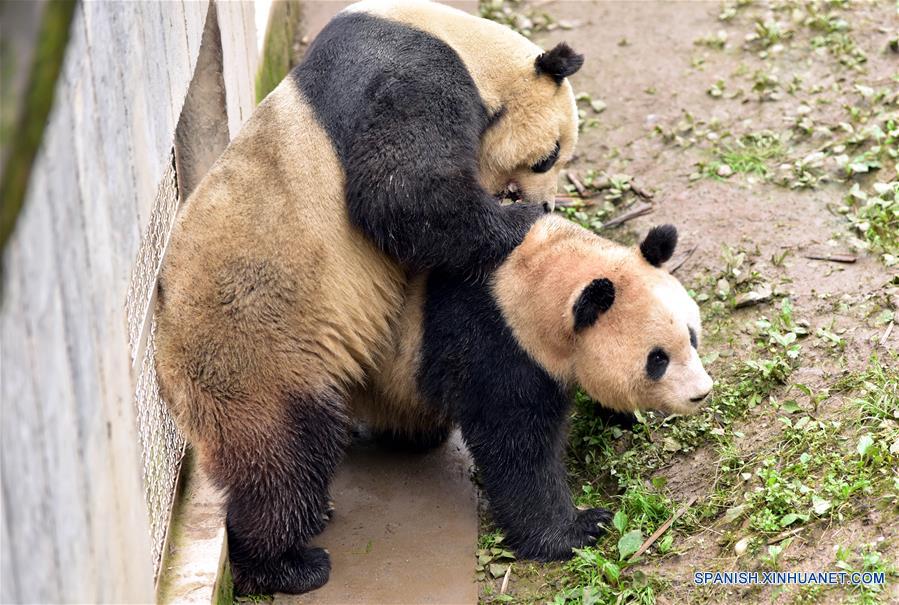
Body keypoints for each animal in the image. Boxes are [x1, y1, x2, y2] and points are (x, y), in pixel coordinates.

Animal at [154, 0, 584, 596]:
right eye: (549, 156)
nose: (542, 201)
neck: (464, 43)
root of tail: (165, 370)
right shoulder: (410, 75)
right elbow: (399, 191)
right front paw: (516, 223)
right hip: (252, 354)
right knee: (284, 456)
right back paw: (287, 564)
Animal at [356, 216, 713, 561]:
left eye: (692, 335)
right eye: (657, 359)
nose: (701, 392)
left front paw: (628, 415)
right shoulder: (492, 344)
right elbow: (516, 448)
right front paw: (579, 529)